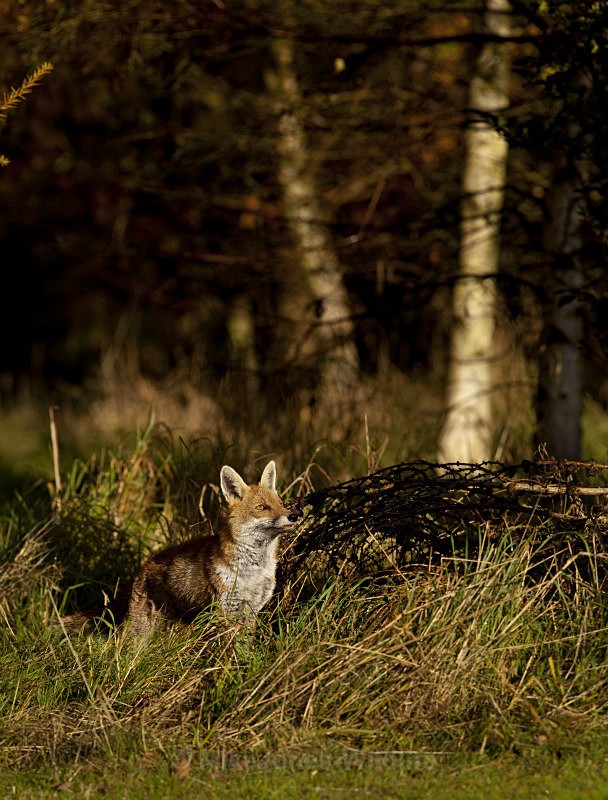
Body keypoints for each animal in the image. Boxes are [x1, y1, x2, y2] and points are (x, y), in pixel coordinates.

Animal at [58, 460, 299, 638]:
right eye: (262, 507)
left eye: (281, 504)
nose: (295, 515)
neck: (252, 572)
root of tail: (142, 568)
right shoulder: (224, 611)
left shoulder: (251, 611)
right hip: (139, 632)